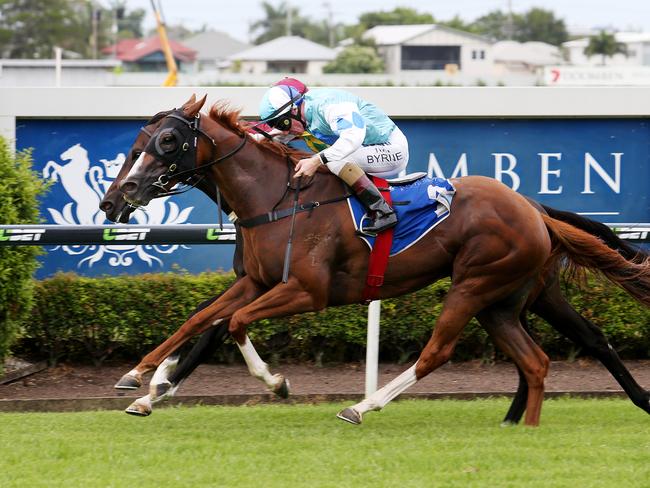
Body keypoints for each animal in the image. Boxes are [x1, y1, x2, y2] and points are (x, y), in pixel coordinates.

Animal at [112, 95, 648, 424]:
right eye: (135, 143)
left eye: (166, 141)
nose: (119, 197)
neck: (277, 197)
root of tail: (533, 208)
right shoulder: (256, 282)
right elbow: (200, 321)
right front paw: (141, 381)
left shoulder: (306, 291)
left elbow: (235, 323)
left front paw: (277, 382)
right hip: (509, 298)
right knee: (551, 354)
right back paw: (530, 422)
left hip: (474, 285)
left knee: (439, 352)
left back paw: (361, 407)